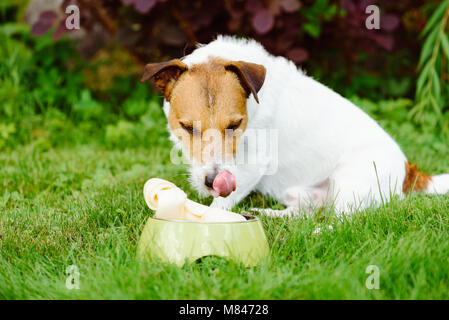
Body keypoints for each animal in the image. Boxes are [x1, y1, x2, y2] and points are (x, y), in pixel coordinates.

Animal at [141, 35, 448, 218]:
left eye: (235, 124)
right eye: (187, 127)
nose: (212, 181)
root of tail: (410, 172)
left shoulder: (253, 165)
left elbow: (220, 206)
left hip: (350, 185)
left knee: (340, 222)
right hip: (300, 192)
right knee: (303, 213)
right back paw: (267, 215)